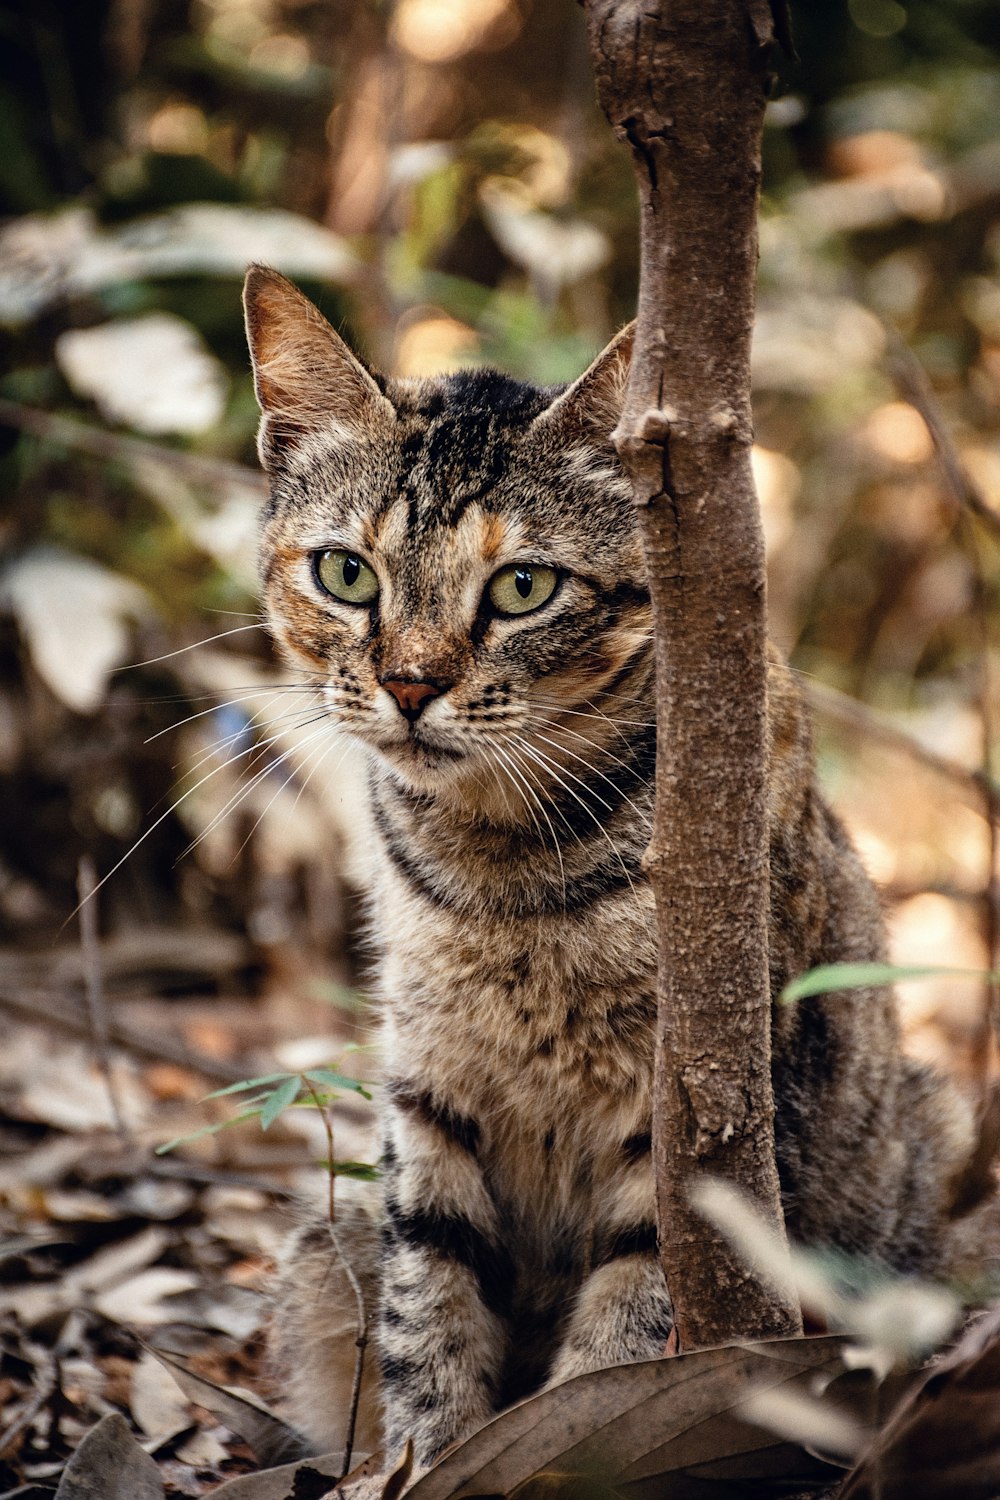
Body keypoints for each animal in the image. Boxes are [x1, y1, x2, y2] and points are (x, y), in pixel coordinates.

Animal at [244, 267, 983, 1464]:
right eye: (346, 573)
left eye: (523, 589)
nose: (408, 686)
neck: (501, 864)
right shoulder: (427, 1089)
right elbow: (427, 1315)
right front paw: (423, 1463)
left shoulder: (692, 1128)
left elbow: (623, 1336)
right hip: (320, 1250)